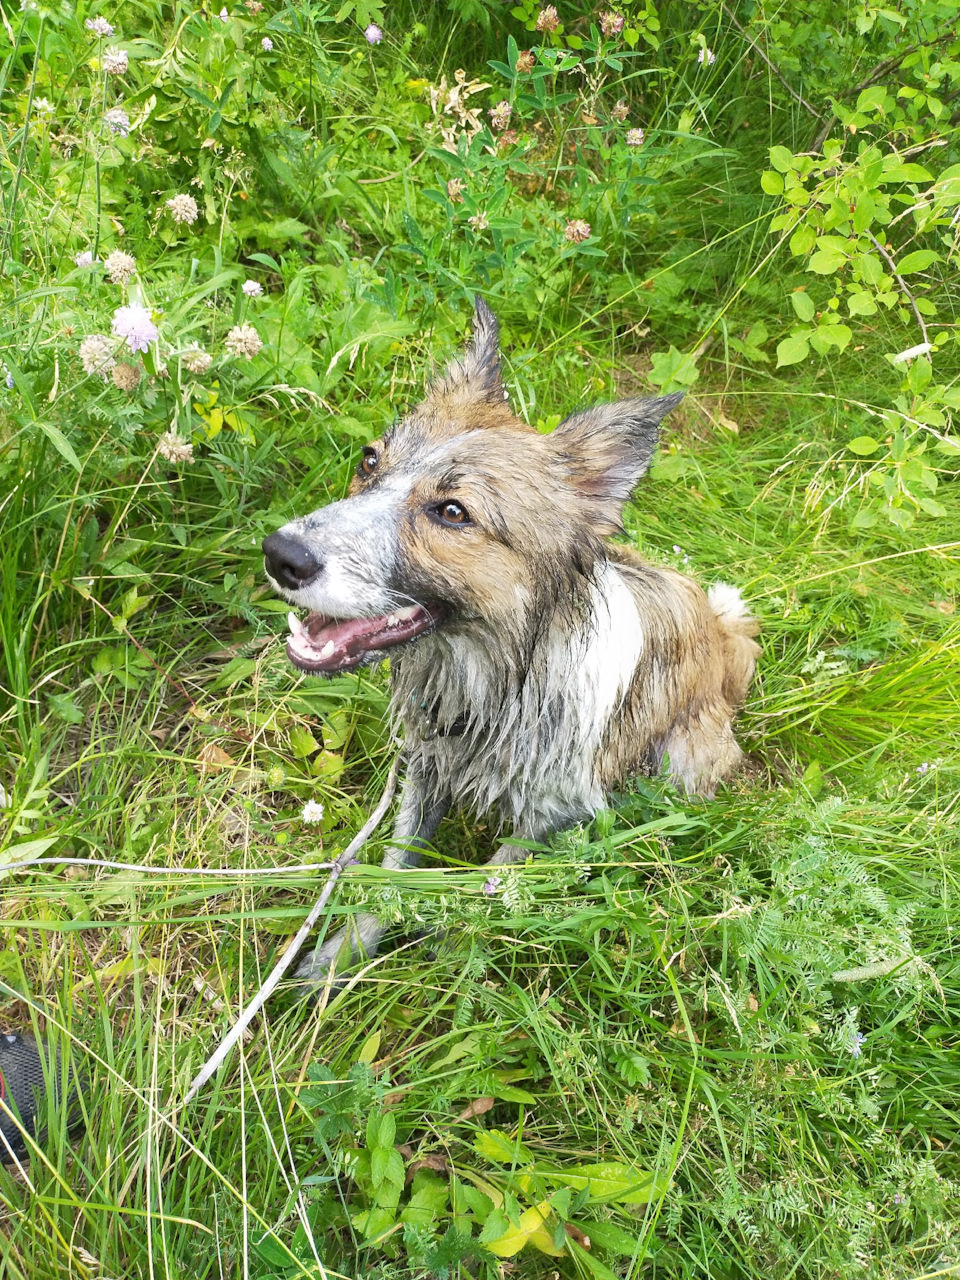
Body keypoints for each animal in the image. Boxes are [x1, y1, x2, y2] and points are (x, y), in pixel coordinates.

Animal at [263, 299, 757, 977]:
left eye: (452, 512)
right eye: (369, 460)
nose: (279, 555)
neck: (496, 686)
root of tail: (724, 637)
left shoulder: (547, 814)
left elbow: (483, 891)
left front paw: (449, 955)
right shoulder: (426, 773)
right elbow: (394, 876)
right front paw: (343, 958)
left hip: (680, 758)